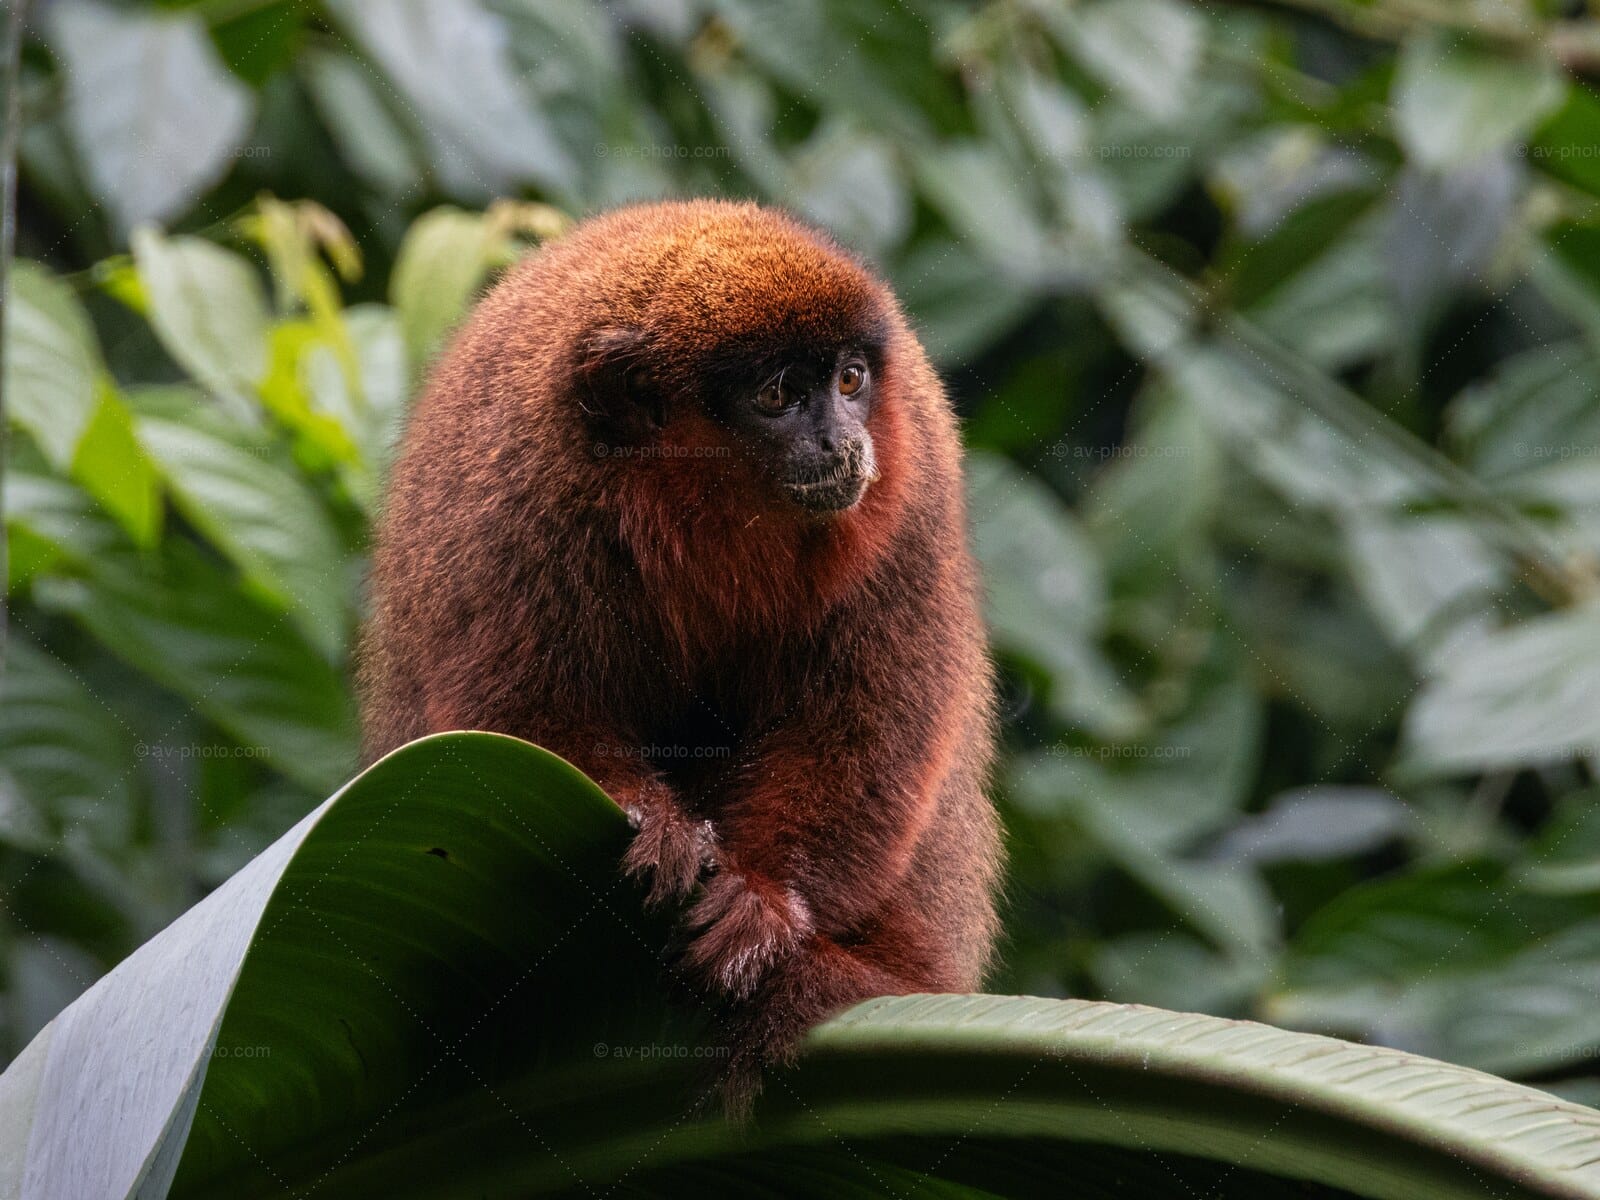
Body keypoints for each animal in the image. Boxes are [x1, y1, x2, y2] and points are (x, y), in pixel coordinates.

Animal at [360, 198, 1002, 1111]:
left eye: (849, 382)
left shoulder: (916, 485)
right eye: (779, 396)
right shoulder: (520, 492)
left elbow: (877, 714)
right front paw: (653, 821)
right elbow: (512, 712)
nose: (844, 445)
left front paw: (768, 903)